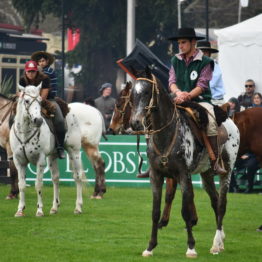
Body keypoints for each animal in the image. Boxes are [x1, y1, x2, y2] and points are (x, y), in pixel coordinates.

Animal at [129, 72, 239, 258]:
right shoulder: (156, 176)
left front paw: (191, 247)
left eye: (147, 92)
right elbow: (155, 212)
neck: (167, 134)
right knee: (215, 201)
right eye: (133, 94)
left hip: (227, 171)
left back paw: (216, 244)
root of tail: (230, 120)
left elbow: (185, 211)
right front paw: (150, 247)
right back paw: (221, 239)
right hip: (206, 174)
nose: (135, 123)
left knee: (222, 204)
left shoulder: (183, 175)